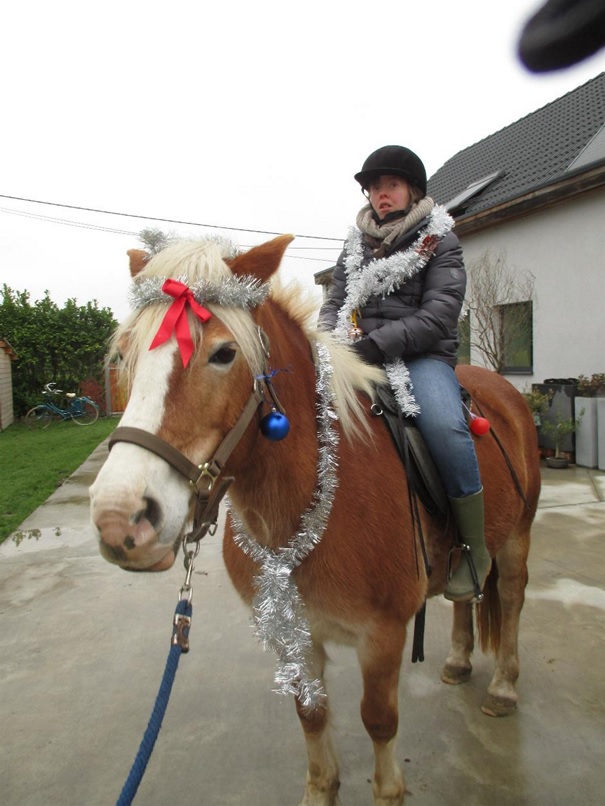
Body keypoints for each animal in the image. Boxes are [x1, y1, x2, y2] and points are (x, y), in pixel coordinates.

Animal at [92, 235, 540, 806]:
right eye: (125, 354)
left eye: (223, 353)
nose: (119, 517)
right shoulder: (294, 635)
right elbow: (311, 716)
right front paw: (322, 785)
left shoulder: (382, 636)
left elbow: (378, 722)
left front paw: (388, 789)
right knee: (470, 587)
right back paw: (460, 660)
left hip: (518, 538)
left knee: (512, 598)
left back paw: (503, 685)